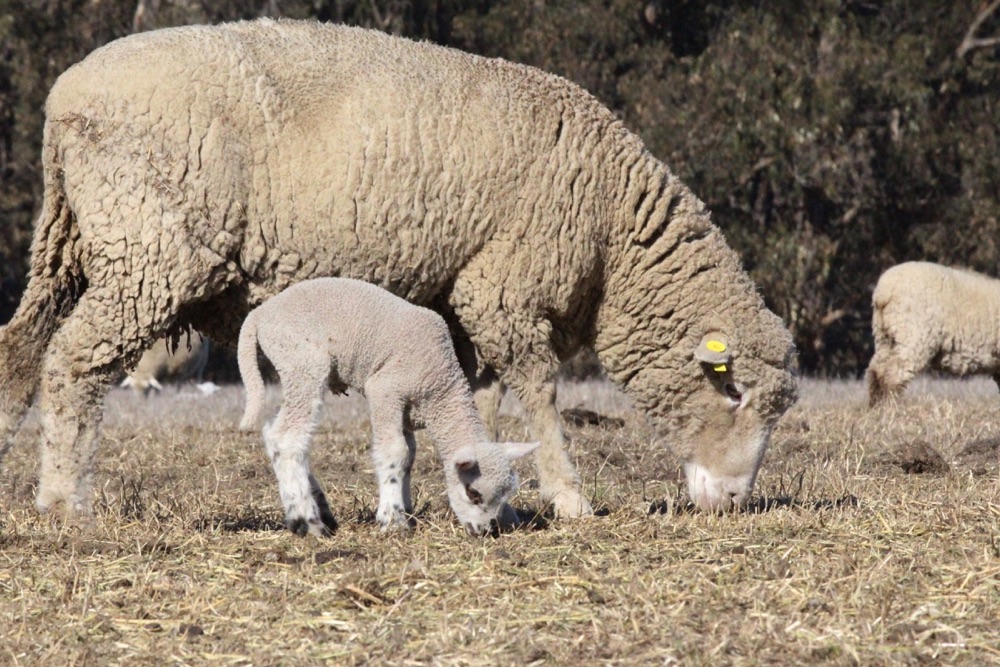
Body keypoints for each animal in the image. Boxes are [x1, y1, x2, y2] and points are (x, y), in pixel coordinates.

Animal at [237, 277, 538, 537]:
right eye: (473, 494)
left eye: (506, 495)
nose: (486, 531)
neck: (440, 388)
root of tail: (259, 315)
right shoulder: (385, 389)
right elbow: (395, 451)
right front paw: (392, 520)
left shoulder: (405, 410)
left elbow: (409, 456)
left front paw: (406, 510)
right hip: (303, 362)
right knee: (286, 437)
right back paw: (307, 521)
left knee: (275, 433)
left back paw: (319, 510)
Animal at [867, 261, 1000, 406]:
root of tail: (883, 293)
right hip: (914, 336)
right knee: (895, 374)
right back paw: (892, 407)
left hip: (884, 337)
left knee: (876, 370)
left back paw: (876, 406)